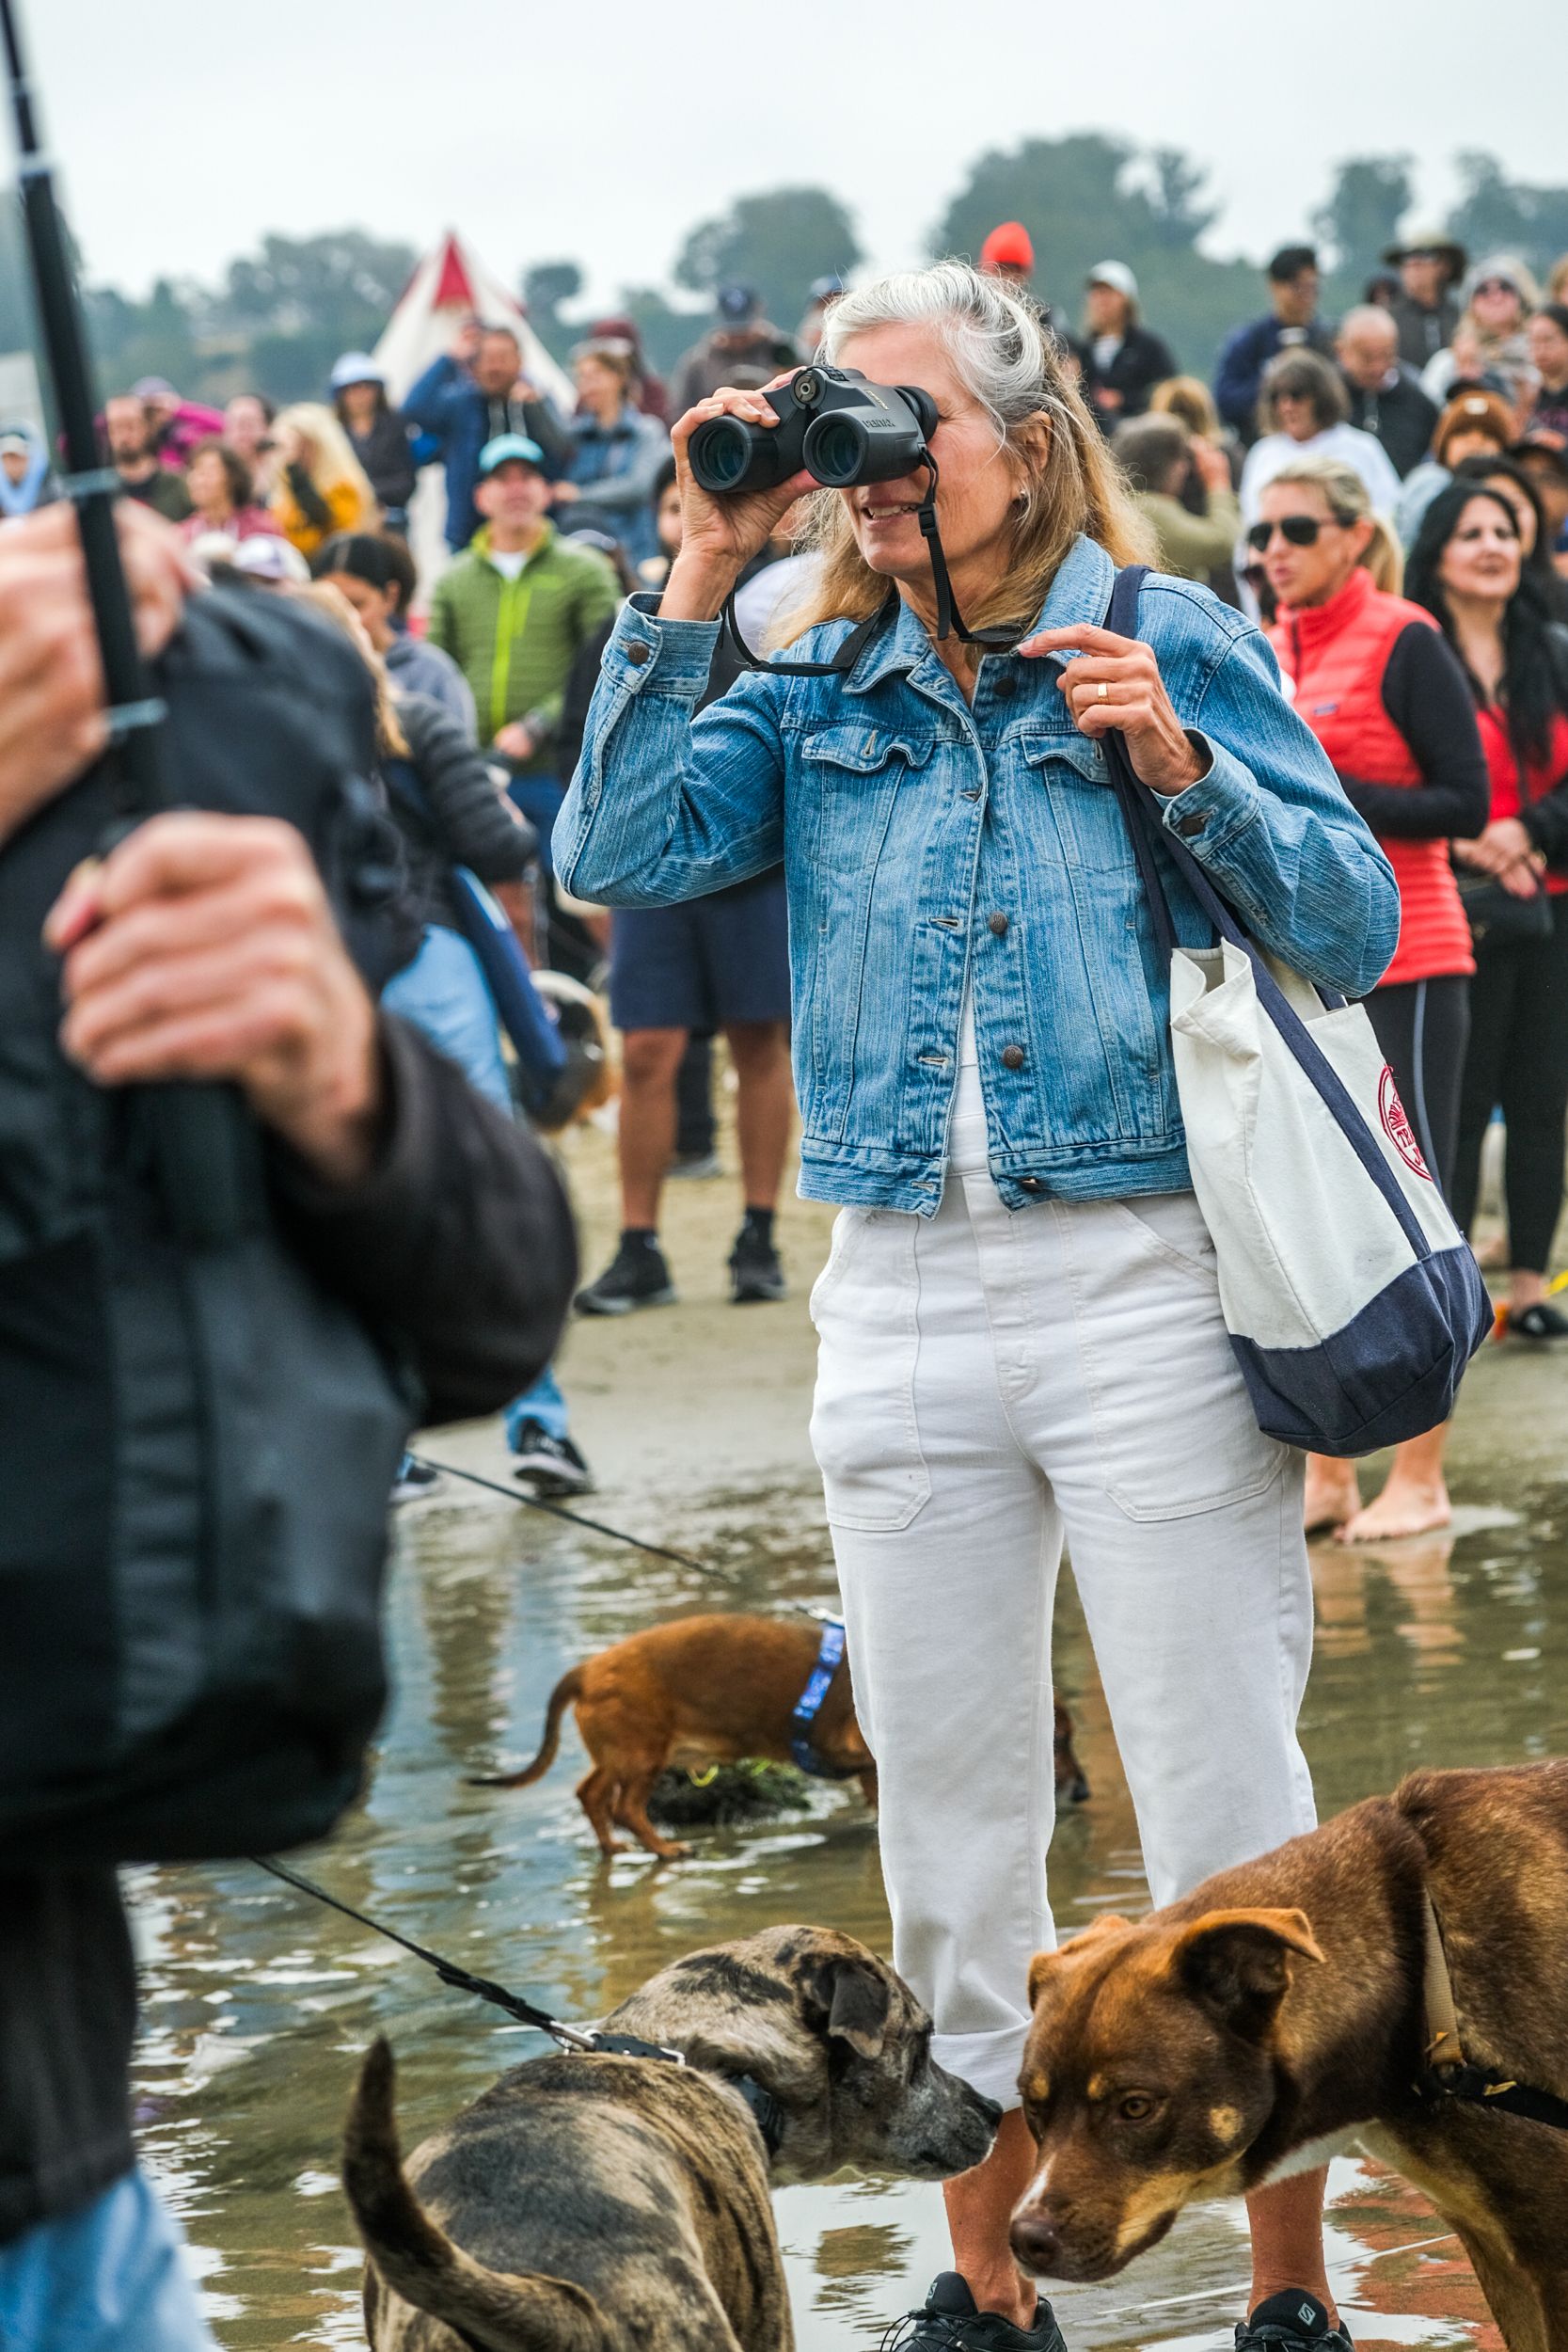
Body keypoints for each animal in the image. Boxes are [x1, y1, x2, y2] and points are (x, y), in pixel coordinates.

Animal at [465, 1618, 1090, 1853]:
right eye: (1056, 1742)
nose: (1084, 1793)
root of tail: (587, 1669)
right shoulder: (869, 1759)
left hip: (624, 1753)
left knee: (591, 1794)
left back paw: (615, 1848)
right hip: (643, 1755)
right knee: (623, 1806)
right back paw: (665, 1848)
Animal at [1006, 1769, 1568, 2352]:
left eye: (1135, 2107)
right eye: (1033, 2106)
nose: (1024, 2240)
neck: (1420, 1961)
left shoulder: (1548, 2253)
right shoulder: (1492, 2243)